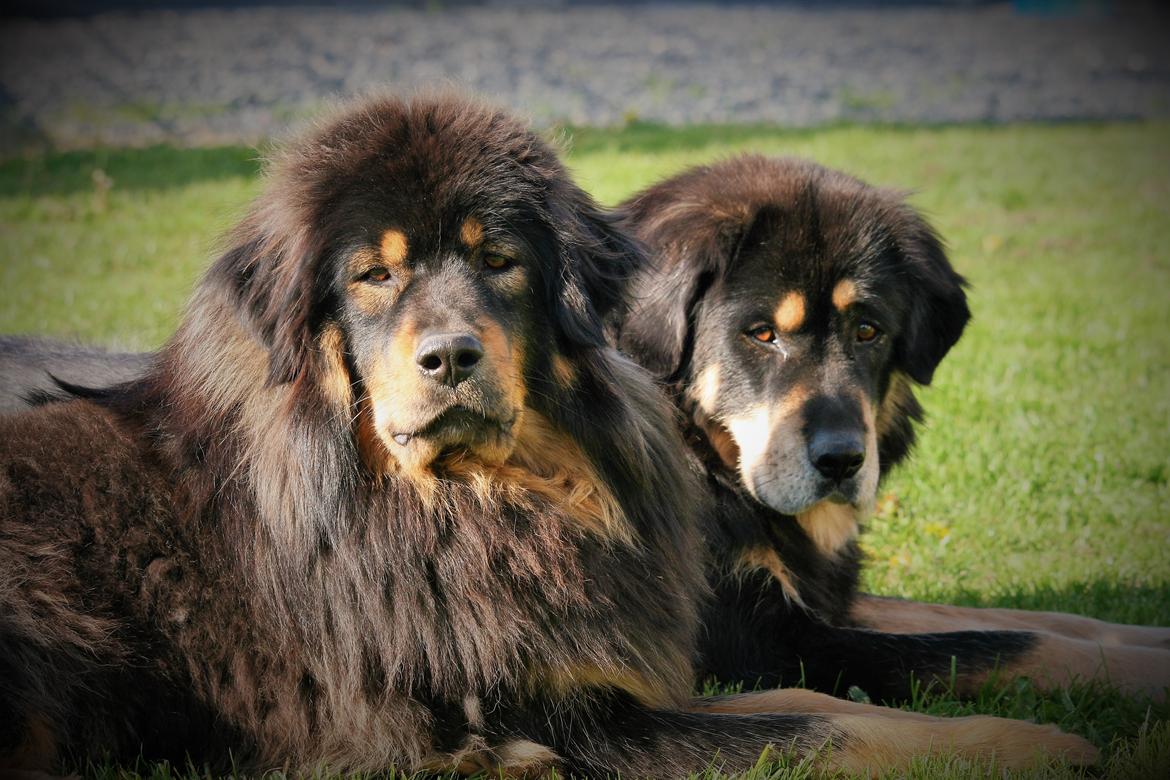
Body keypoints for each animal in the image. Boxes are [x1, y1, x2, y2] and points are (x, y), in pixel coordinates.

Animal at [0, 100, 1095, 776]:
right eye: (374, 276)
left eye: (868, 330)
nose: (839, 460)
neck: (481, 502)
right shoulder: (591, 705)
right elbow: (840, 718)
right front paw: (1034, 747)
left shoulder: (644, 660)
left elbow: (993, 637)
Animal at [617, 155, 1170, 706]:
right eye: (762, 334)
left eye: (867, 331)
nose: (842, 460)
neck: (706, 460)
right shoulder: (769, 645)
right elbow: (1010, 646)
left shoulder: (827, 602)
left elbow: (1012, 620)